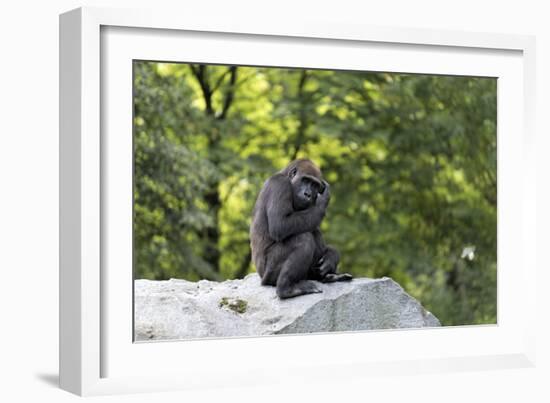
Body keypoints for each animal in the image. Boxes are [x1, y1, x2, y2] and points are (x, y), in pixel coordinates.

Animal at [251, 159, 354, 300]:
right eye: (305, 180)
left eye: (315, 185)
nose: (308, 194)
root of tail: (261, 278)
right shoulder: (280, 185)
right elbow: (280, 225)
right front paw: (323, 200)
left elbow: (311, 222)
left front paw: (332, 255)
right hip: (268, 275)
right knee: (303, 239)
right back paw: (286, 289)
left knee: (313, 232)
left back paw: (327, 277)